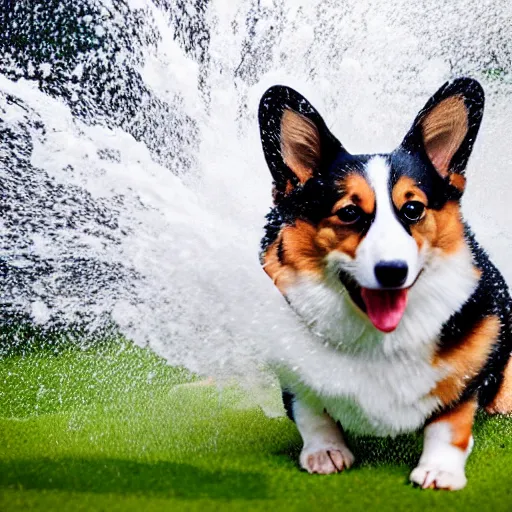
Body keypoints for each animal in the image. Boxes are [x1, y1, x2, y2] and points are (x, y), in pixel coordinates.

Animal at [260, 78, 512, 490]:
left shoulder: (475, 357)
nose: (392, 270)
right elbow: (310, 409)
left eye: (413, 209)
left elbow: (451, 419)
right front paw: (325, 452)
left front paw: (439, 471)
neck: (380, 340)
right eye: (348, 212)